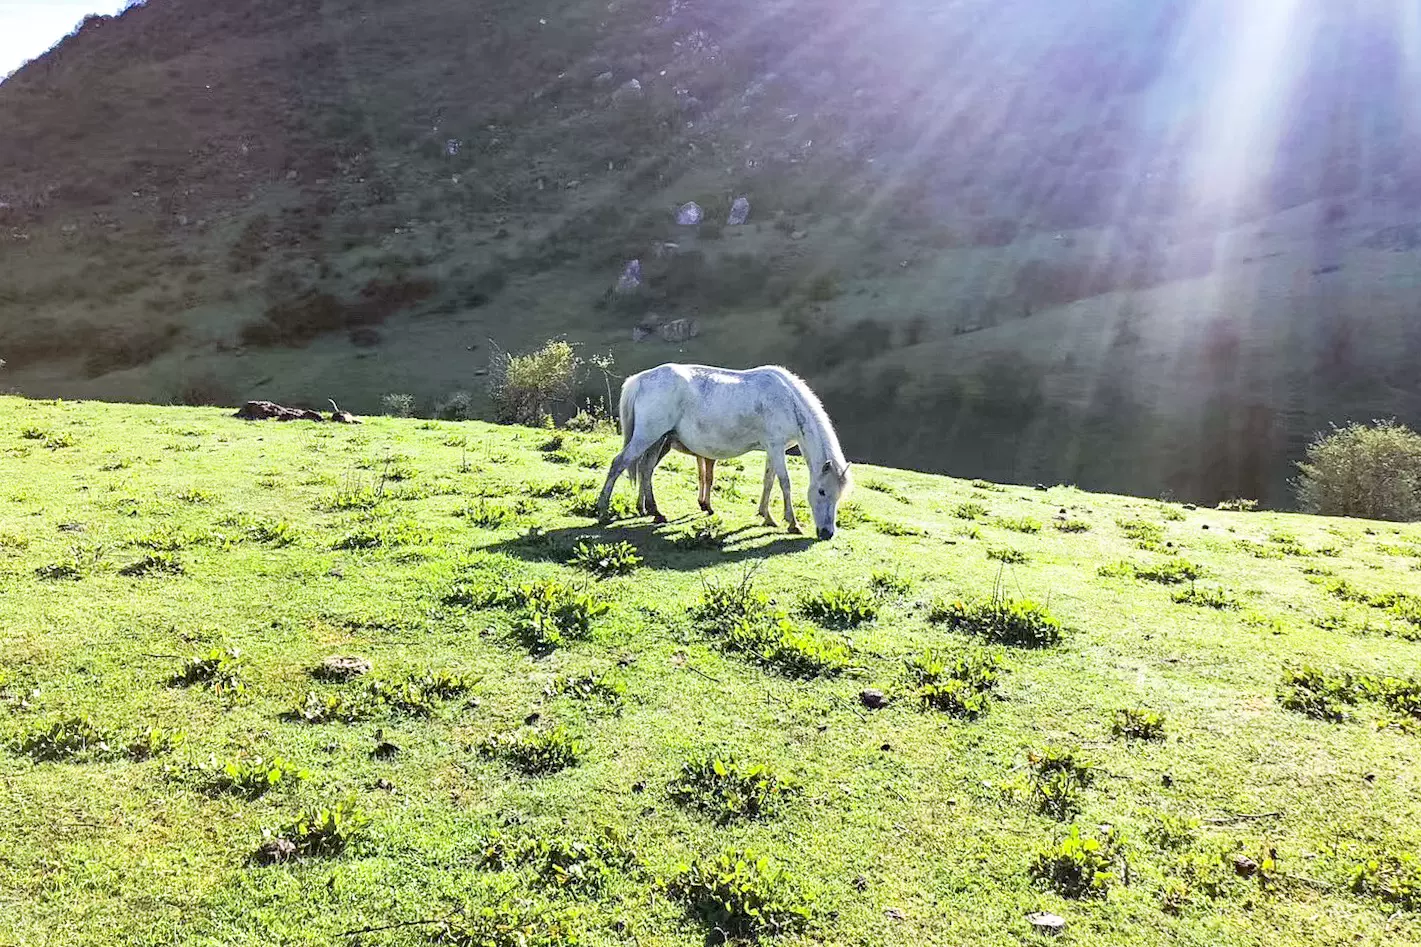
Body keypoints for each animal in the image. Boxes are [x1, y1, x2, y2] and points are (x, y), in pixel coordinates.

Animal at [593, 362, 846, 537]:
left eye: (838, 495)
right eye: (822, 491)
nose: (827, 534)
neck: (786, 399)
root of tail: (641, 379)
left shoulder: (773, 449)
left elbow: (768, 480)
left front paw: (766, 516)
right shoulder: (775, 447)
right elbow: (785, 483)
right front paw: (792, 523)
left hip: (657, 440)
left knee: (645, 470)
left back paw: (654, 512)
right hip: (647, 437)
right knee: (619, 464)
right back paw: (603, 510)